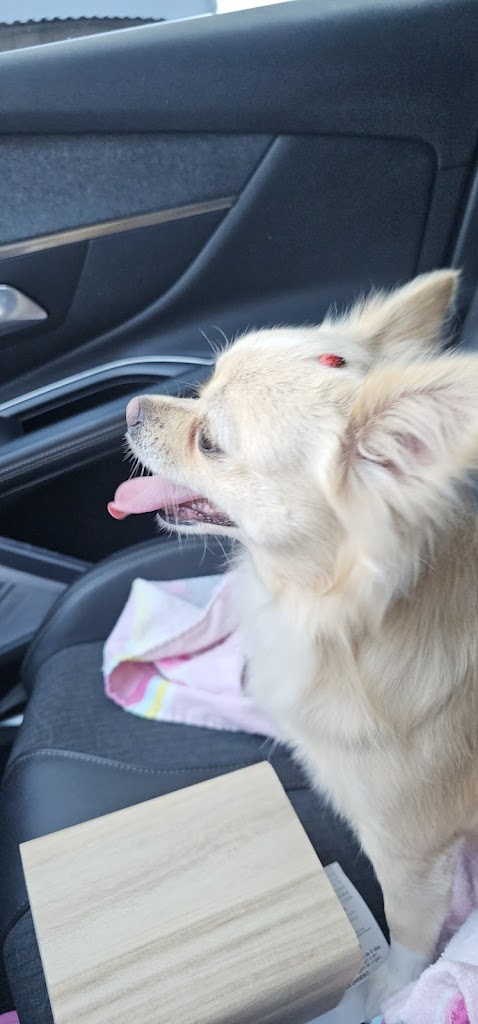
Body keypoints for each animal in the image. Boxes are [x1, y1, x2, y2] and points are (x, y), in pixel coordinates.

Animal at [111, 270, 478, 1014]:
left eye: (210, 441)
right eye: (203, 385)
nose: (130, 407)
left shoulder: (411, 851)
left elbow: (407, 934)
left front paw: (382, 996)